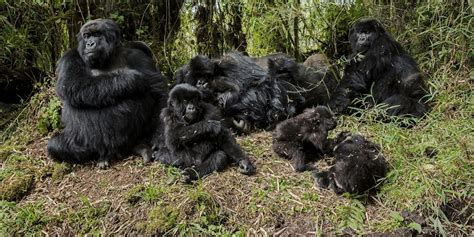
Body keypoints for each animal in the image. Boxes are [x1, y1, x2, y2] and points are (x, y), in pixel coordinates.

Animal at [46, 19, 168, 168]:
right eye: (86, 36)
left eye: (97, 34)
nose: (90, 44)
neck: (108, 58)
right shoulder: (69, 57)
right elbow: (72, 84)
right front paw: (130, 79)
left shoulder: (138, 55)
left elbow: (158, 90)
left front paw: (159, 138)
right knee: (55, 145)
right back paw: (103, 156)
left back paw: (140, 146)